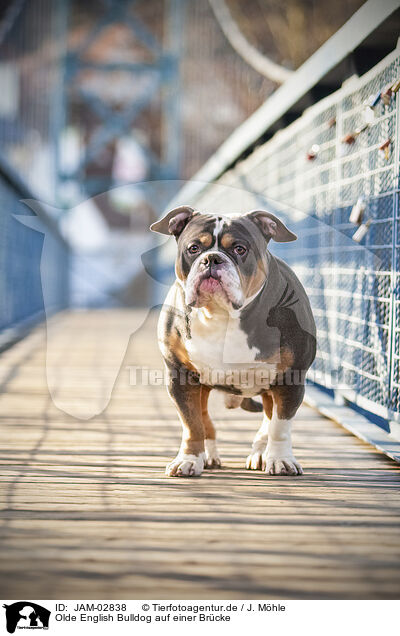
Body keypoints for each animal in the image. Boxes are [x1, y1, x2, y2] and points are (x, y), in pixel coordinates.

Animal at [150, 207, 316, 476]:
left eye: (239, 249)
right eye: (194, 248)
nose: (212, 259)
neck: (222, 314)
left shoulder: (290, 380)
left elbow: (279, 427)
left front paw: (281, 460)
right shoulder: (181, 377)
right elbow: (192, 424)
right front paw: (189, 459)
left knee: (268, 419)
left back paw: (261, 454)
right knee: (205, 420)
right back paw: (208, 456)